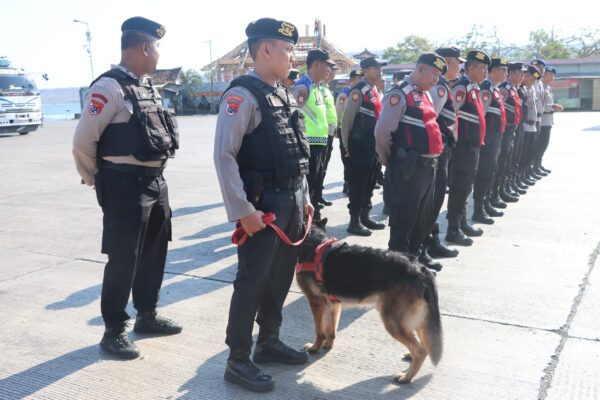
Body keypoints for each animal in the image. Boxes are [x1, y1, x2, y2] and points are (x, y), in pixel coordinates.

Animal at [296, 227, 442, 382]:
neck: (312, 239)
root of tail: (421, 269)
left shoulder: (316, 302)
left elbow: (319, 331)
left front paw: (315, 348)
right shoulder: (333, 305)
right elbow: (331, 330)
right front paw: (328, 345)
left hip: (393, 322)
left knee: (421, 351)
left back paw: (406, 377)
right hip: (418, 321)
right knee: (423, 345)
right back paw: (410, 359)